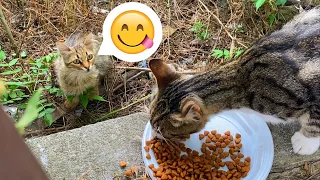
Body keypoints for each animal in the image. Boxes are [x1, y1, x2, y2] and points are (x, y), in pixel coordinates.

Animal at [149, 7, 320, 155]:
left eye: (160, 130)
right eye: (150, 121)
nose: (153, 135)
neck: (240, 80)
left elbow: (314, 123)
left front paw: (306, 142)